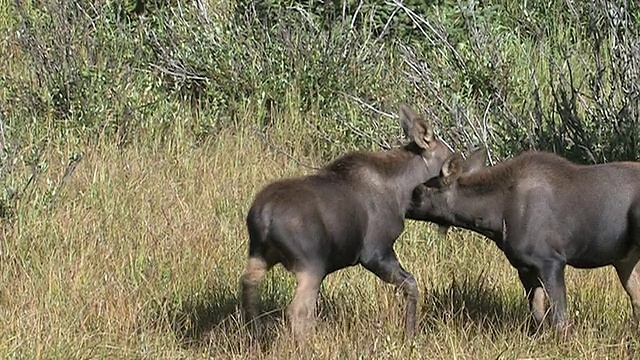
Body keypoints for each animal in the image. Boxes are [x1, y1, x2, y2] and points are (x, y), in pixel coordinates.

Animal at [241, 105, 456, 340]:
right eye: (451, 162)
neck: (403, 194)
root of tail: (263, 216)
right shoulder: (375, 252)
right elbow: (411, 284)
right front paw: (409, 334)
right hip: (311, 263)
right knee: (299, 309)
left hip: (259, 254)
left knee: (248, 288)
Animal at [408, 147, 640, 338]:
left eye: (417, 192)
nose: (402, 204)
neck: (494, 217)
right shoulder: (525, 266)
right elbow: (537, 314)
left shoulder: (551, 261)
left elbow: (559, 317)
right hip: (625, 260)